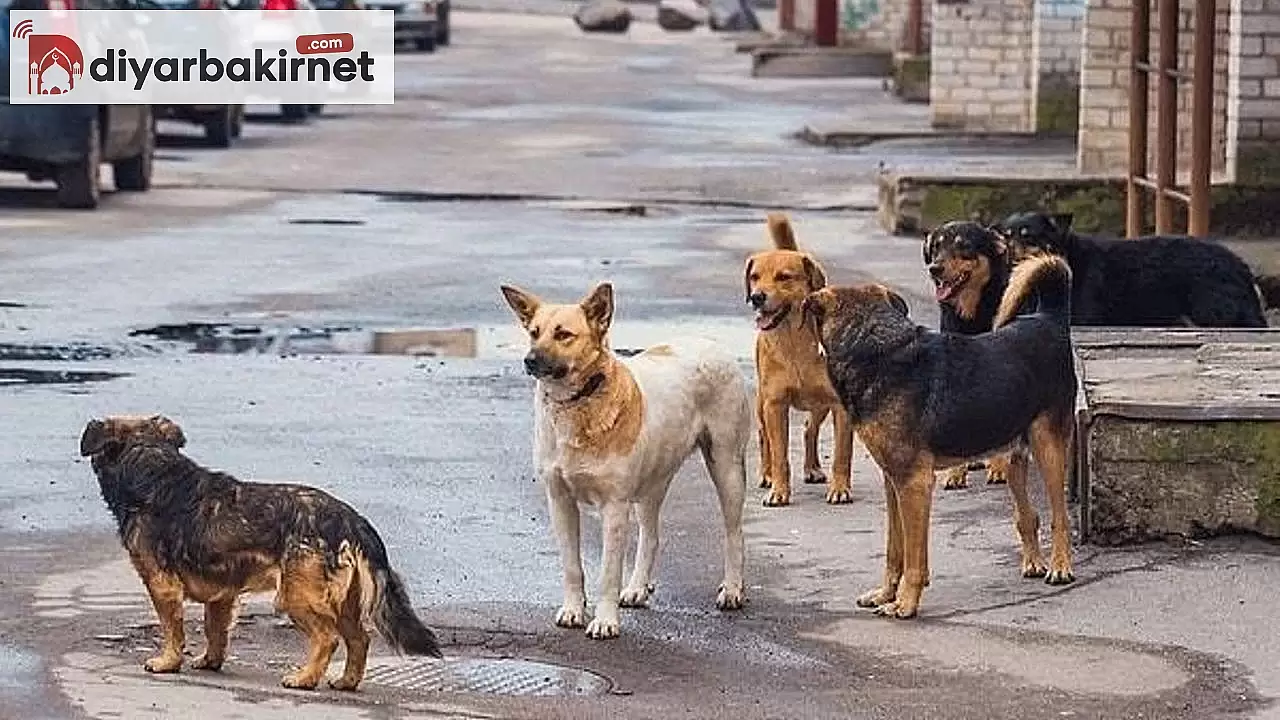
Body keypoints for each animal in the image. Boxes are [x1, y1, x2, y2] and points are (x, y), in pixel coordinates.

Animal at [80, 415, 442, 691]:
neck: (152, 465)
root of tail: (351, 520)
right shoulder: (222, 595)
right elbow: (215, 631)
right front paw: (210, 662)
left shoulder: (161, 585)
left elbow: (172, 629)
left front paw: (168, 662)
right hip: (344, 602)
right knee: (359, 639)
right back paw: (346, 682)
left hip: (295, 596)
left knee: (328, 638)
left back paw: (304, 679)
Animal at [496, 280, 747, 638]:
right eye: (534, 332)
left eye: (563, 335)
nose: (529, 360)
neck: (579, 402)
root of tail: (710, 342)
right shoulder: (560, 501)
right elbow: (572, 566)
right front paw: (574, 610)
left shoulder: (614, 507)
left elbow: (608, 573)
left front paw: (605, 621)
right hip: (652, 483)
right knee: (651, 536)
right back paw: (638, 587)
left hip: (726, 467)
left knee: (734, 532)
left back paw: (733, 589)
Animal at [747, 211, 855, 504]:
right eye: (754, 276)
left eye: (784, 277)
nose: (756, 297)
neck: (794, 343)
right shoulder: (775, 404)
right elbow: (780, 454)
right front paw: (778, 490)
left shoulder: (840, 406)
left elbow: (842, 454)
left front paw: (840, 488)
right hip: (762, 403)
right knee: (763, 437)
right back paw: (767, 474)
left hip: (820, 404)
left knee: (809, 429)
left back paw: (812, 468)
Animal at [921, 217, 1018, 486]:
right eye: (936, 247)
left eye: (963, 245)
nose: (935, 268)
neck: (972, 315)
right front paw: (956, 473)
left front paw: (998, 468)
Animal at [993, 210, 1264, 327]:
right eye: (1005, 236)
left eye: (1028, 236)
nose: (1005, 251)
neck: (1069, 258)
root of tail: (1240, 265)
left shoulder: (1083, 318)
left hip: (1208, 313)